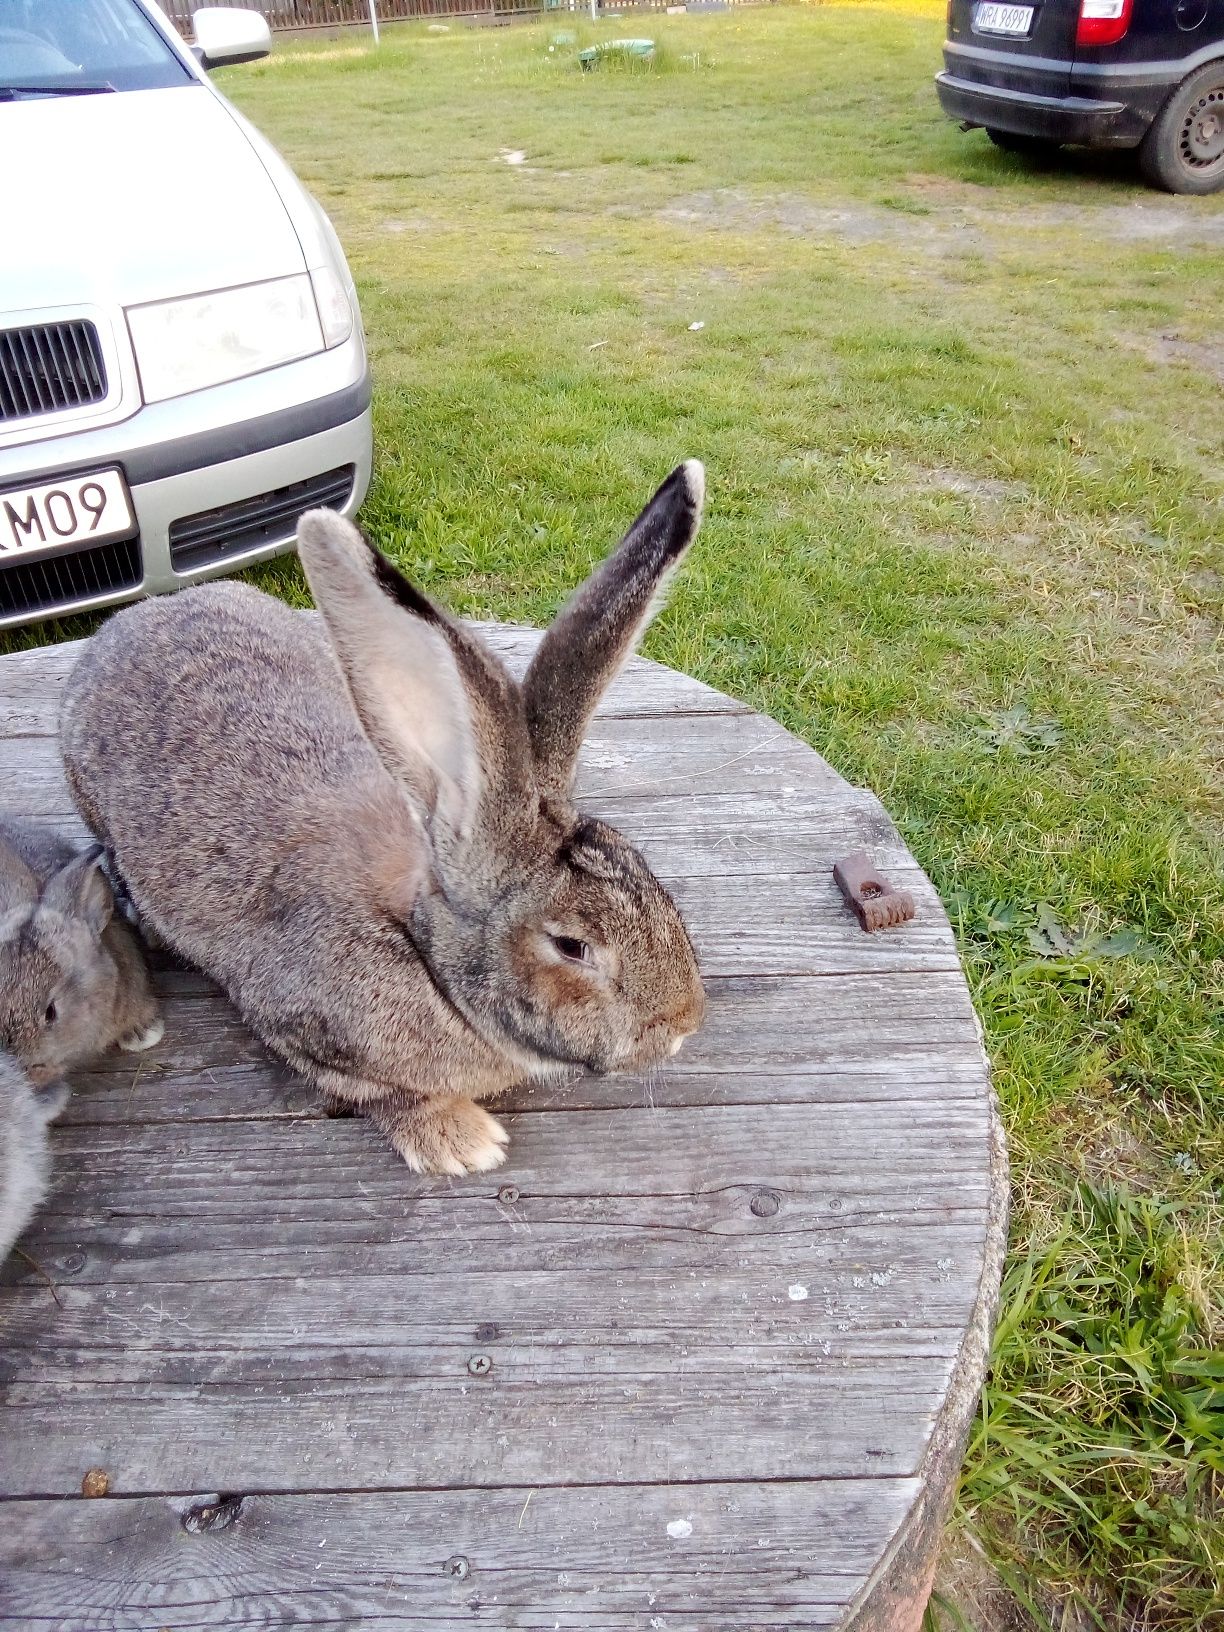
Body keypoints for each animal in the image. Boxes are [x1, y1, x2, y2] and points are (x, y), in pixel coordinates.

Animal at [59, 460, 708, 1175]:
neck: (427, 959)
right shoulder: (303, 1031)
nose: (684, 1025)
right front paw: (463, 1143)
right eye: (572, 946)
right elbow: (384, 1094)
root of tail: (127, 623)